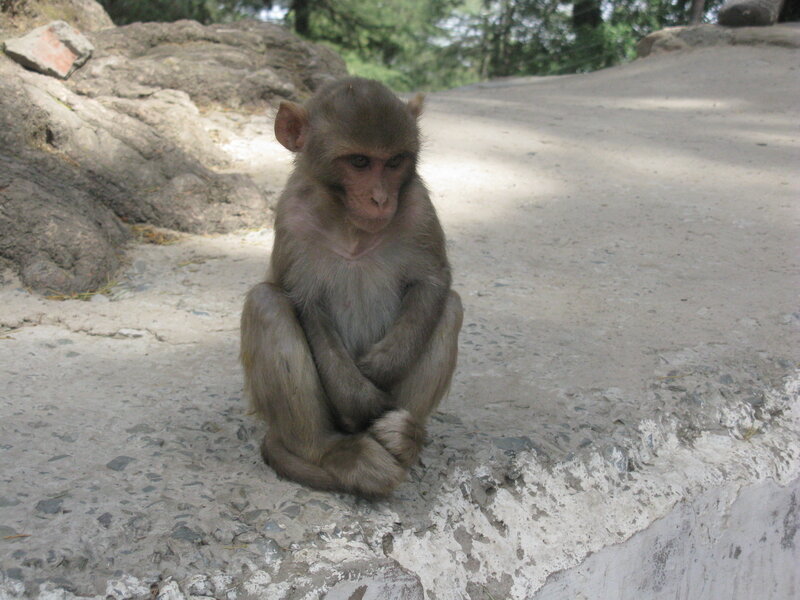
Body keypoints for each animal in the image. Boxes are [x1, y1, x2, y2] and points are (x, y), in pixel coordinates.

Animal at [239, 77, 463, 499]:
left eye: (394, 162)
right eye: (359, 162)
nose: (380, 199)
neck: (348, 224)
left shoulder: (417, 207)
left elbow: (432, 283)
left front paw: (378, 369)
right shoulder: (293, 217)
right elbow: (306, 304)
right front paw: (359, 398)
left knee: (449, 308)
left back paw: (406, 437)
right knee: (266, 303)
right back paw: (334, 452)